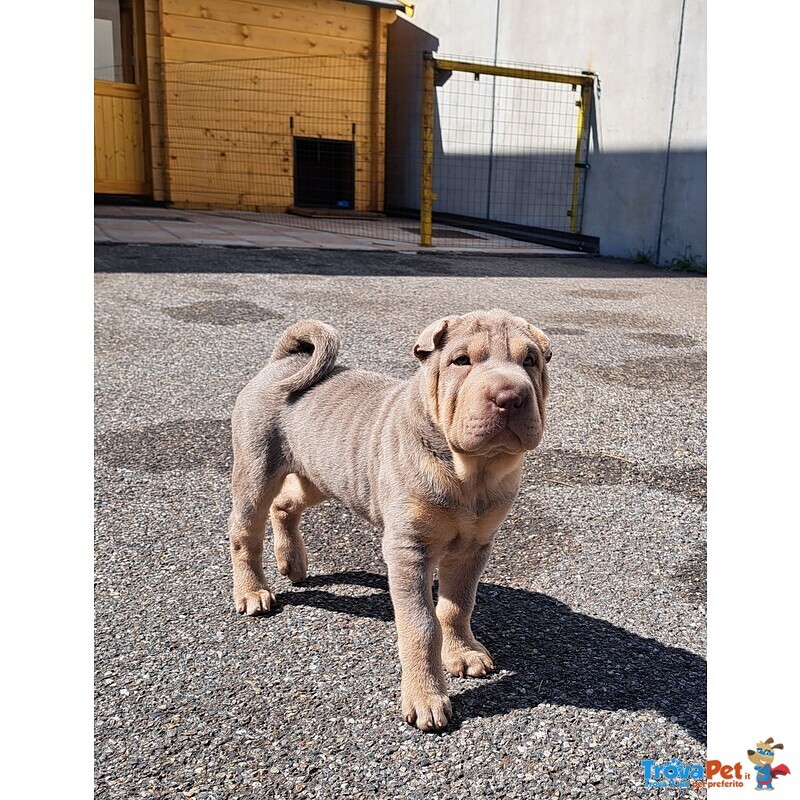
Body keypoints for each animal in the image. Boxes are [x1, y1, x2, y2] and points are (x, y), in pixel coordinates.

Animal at [225, 308, 552, 732]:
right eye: (461, 361)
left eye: (530, 361)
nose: (510, 397)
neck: (472, 474)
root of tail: (282, 362)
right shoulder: (408, 549)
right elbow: (421, 625)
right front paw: (427, 698)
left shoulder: (474, 548)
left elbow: (457, 606)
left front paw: (462, 653)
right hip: (257, 468)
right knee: (244, 531)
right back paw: (252, 592)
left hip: (324, 473)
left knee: (285, 505)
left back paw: (292, 562)